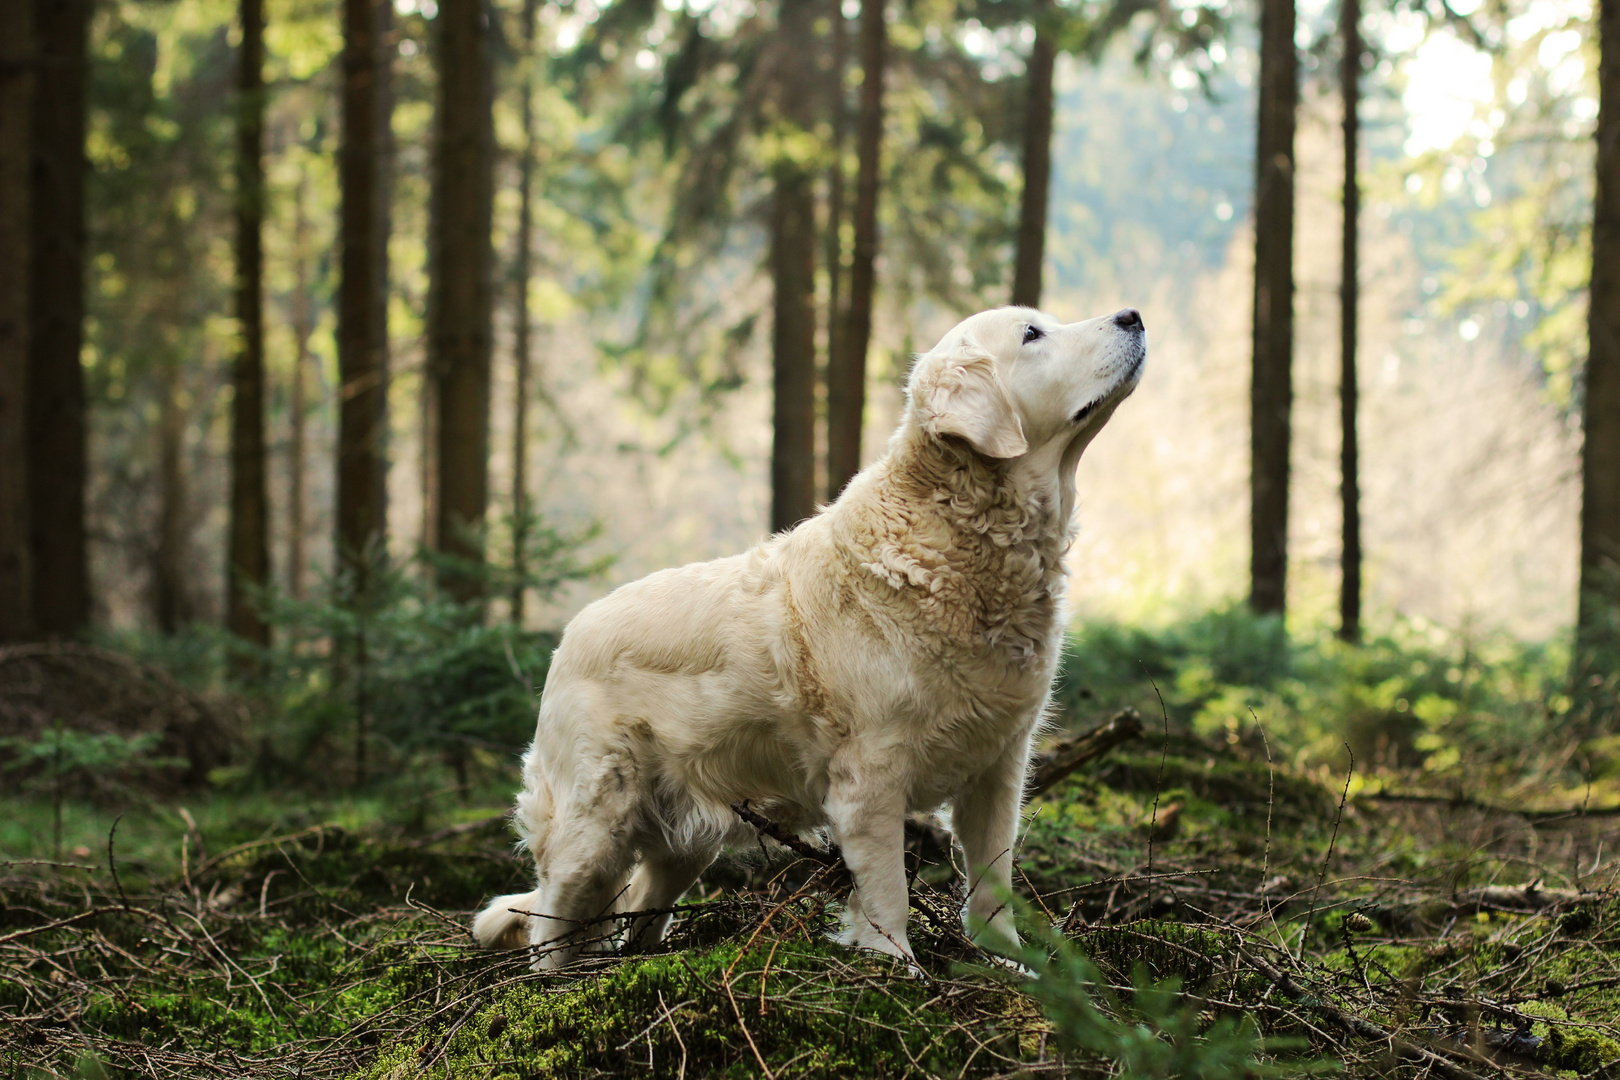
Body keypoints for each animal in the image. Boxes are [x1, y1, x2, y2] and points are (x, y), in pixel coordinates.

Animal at [473, 306, 1146, 971]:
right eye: (1032, 334)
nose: (1133, 316)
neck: (961, 542)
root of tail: (567, 637)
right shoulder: (870, 777)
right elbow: (889, 893)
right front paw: (896, 967)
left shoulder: (1001, 766)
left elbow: (993, 881)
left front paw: (1009, 966)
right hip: (593, 825)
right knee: (548, 925)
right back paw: (555, 982)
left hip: (683, 838)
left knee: (641, 904)